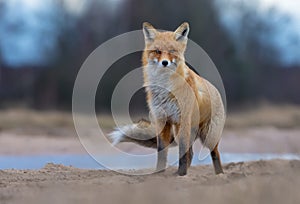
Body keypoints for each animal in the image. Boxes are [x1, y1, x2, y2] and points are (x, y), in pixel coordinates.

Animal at [109, 21, 225, 175]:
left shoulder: (183, 120)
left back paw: (220, 174)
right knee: (191, 153)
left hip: (208, 136)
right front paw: (160, 174)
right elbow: (162, 153)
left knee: (214, 153)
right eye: (158, 51)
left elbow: (182, 153)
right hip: (179, 131)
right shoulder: (162, 120)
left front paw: (182, 175)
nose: (164, 62)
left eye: (172, 51)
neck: (164, 88)